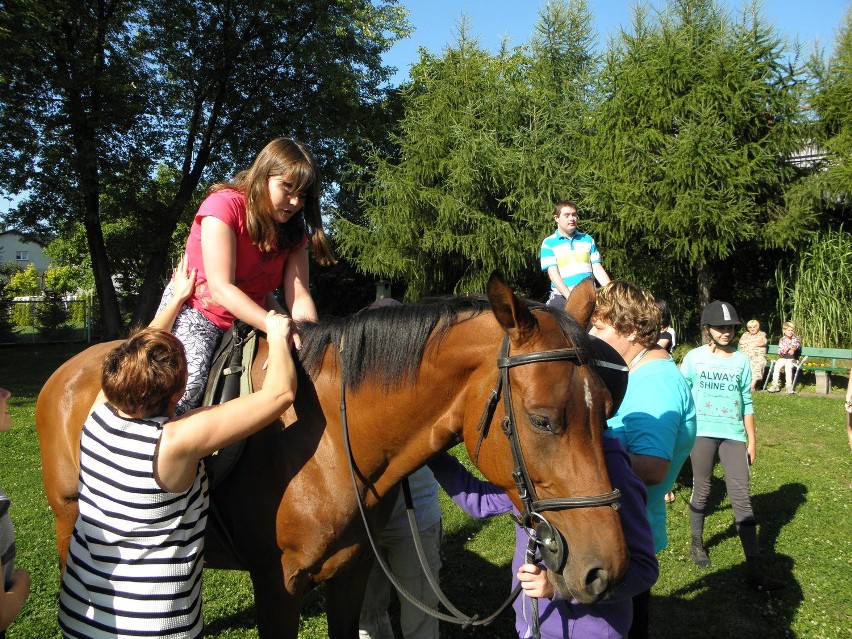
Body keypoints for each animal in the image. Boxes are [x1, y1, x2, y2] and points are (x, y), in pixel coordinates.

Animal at [35, 276, 624, 639]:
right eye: (543, 420)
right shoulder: (278, 587)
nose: (606, 570)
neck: (330, 450)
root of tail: (68, 371)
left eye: (607, 409)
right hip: (70, 523)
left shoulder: (352, 571)